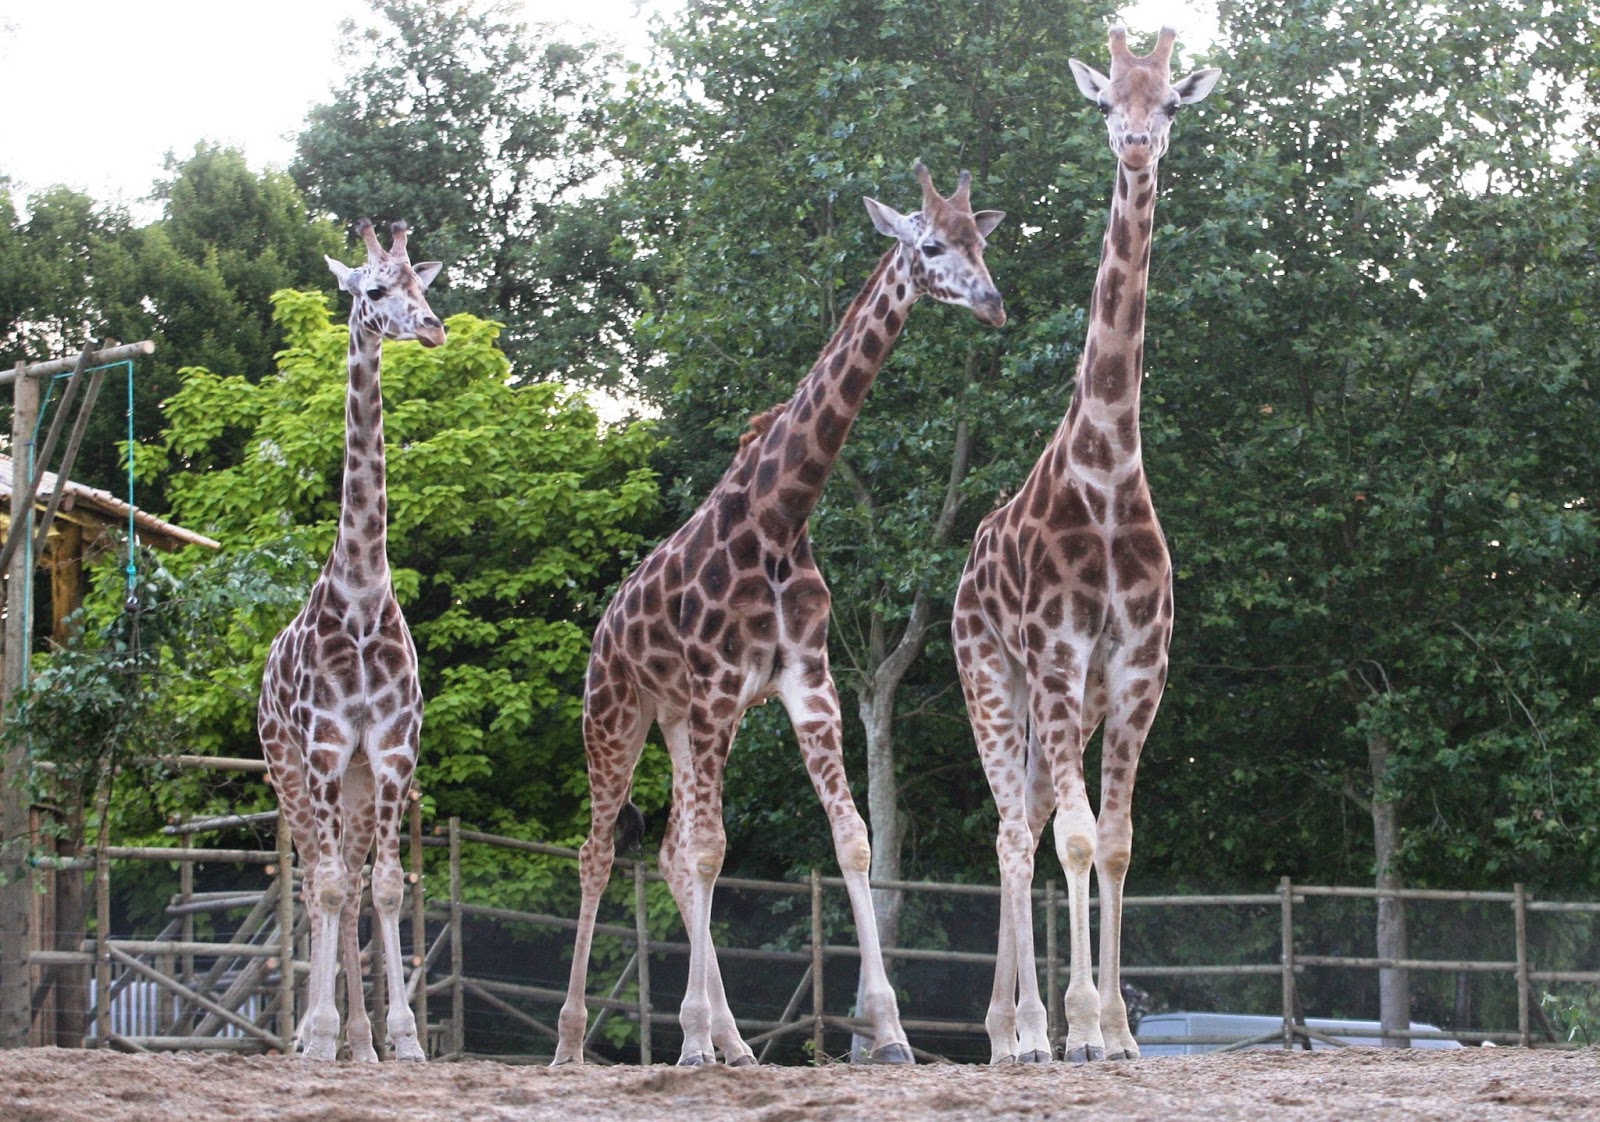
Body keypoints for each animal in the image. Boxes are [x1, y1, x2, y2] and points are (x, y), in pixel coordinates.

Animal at [553, 164, 1005, 1067]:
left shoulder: (808, 682)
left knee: (666, 851)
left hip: (681, 719)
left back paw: (735, 1044)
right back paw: (575, 1041)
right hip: (617, 716)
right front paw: (690, 1043)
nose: (993, 302)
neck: (779, 518)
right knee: (600, 851)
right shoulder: (721, 687)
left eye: (982, 240)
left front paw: (890, 1032)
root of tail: (603, 632)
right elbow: (711, 849)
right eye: (930, 246)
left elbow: (850, 836)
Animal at [950, 27, 1220, 1065]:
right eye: (1107, 100)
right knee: (1010, 831)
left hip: (1061, 701)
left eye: (1171, 102)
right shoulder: (1060, 656)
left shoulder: (1137, 670)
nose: (1137, 145)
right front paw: (1071, 1027)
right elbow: (1069, 839)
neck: (1107, 475)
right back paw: (1017, 1034)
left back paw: (1017, 1027)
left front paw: (1116, 1032)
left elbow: (1112, 839)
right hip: (994, 676)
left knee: (1023, 821)